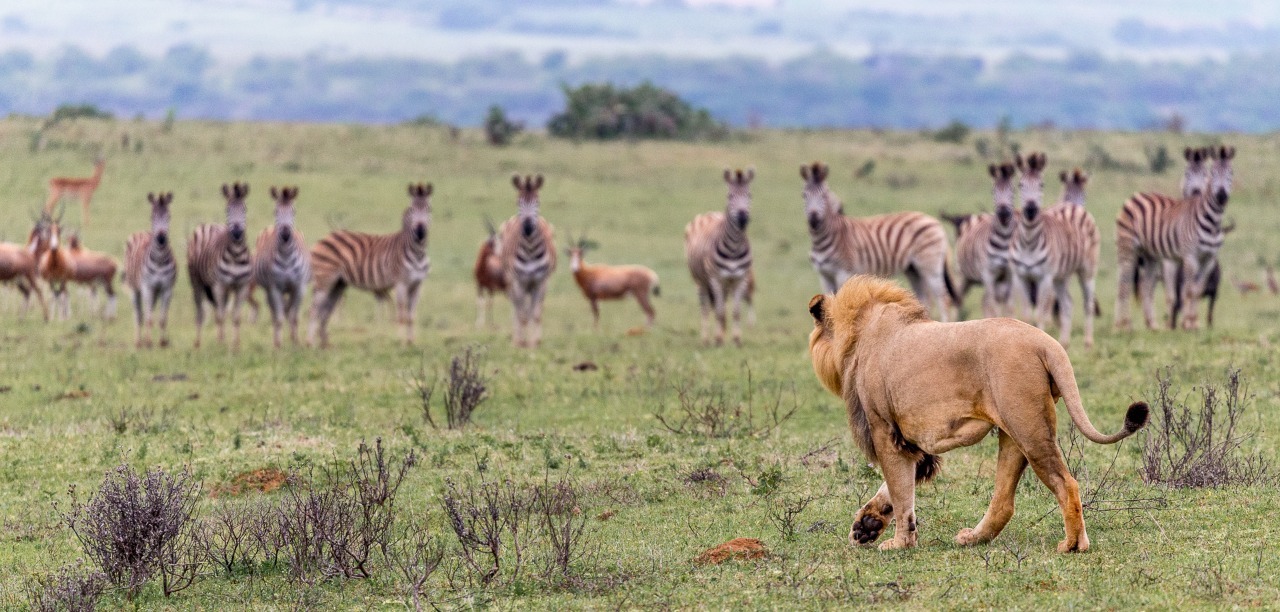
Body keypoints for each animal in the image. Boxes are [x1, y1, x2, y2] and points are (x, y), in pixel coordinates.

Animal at [806, 275, 1148, 553]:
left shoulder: (884, 430)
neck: (860, 334)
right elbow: (897, 487)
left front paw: (899, 543)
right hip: (1013, 434)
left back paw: (1073, 544)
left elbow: (901, 490)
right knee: (1004, 501)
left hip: (1030, 430)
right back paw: (973, 538)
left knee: (1066, 484)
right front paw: (867, 525)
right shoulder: (911, 440)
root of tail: (1047, 343)